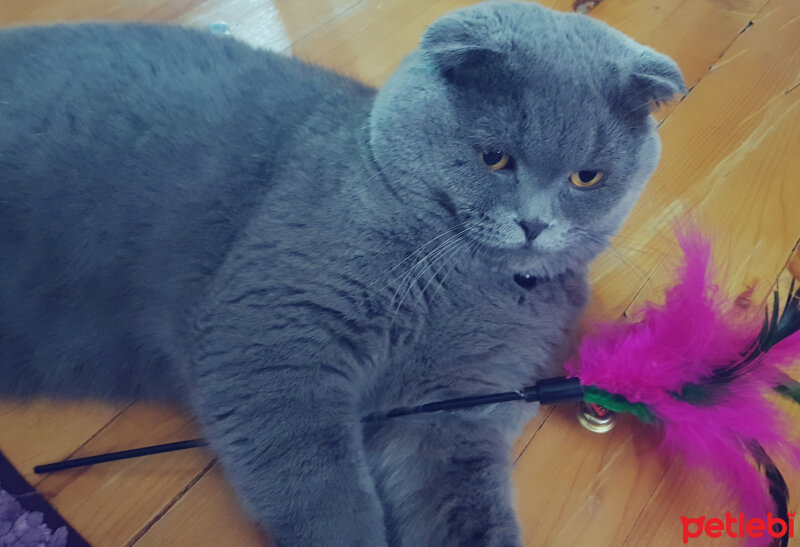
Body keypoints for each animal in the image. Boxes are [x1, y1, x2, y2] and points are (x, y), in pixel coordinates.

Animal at [0, 2, 684, 544]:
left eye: (586, 177)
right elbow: (322, 491)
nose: (534, 224)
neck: (460, 283)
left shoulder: (456, 408)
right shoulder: (277, 340)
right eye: (495, 158)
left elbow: (463, 506)